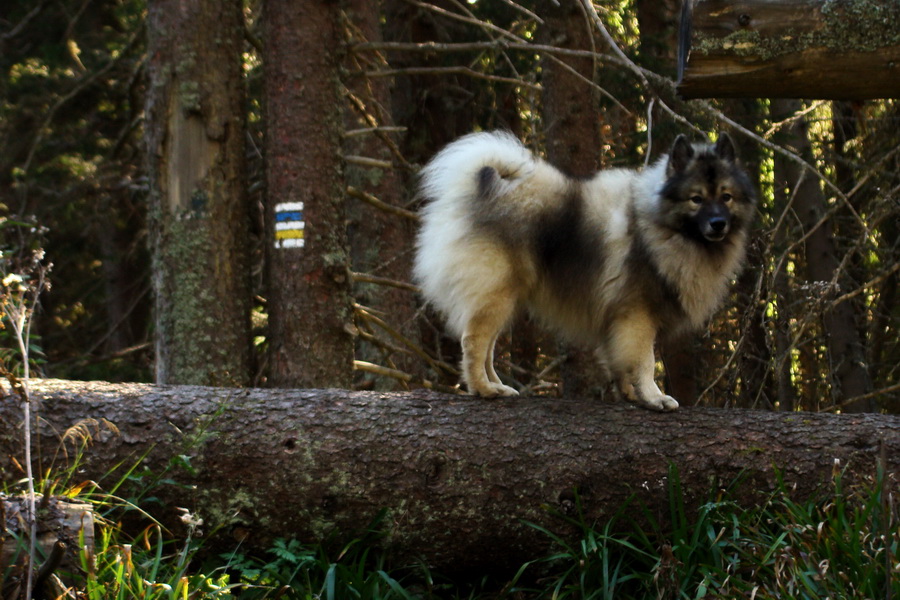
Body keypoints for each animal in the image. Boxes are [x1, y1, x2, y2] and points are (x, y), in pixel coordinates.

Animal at [412, 130, 756, 412]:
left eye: (726, 197)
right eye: (696, 199)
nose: (718, 223)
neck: (660, 226)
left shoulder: (619, 319)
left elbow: (621, 361)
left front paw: (630, 394)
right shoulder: (637, 315)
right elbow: (644, 361)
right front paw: (654, 397)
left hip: (502, 299)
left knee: (488, 346)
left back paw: (498, 385)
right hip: (496, 294)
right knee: (473, 343)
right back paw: (482, 389)